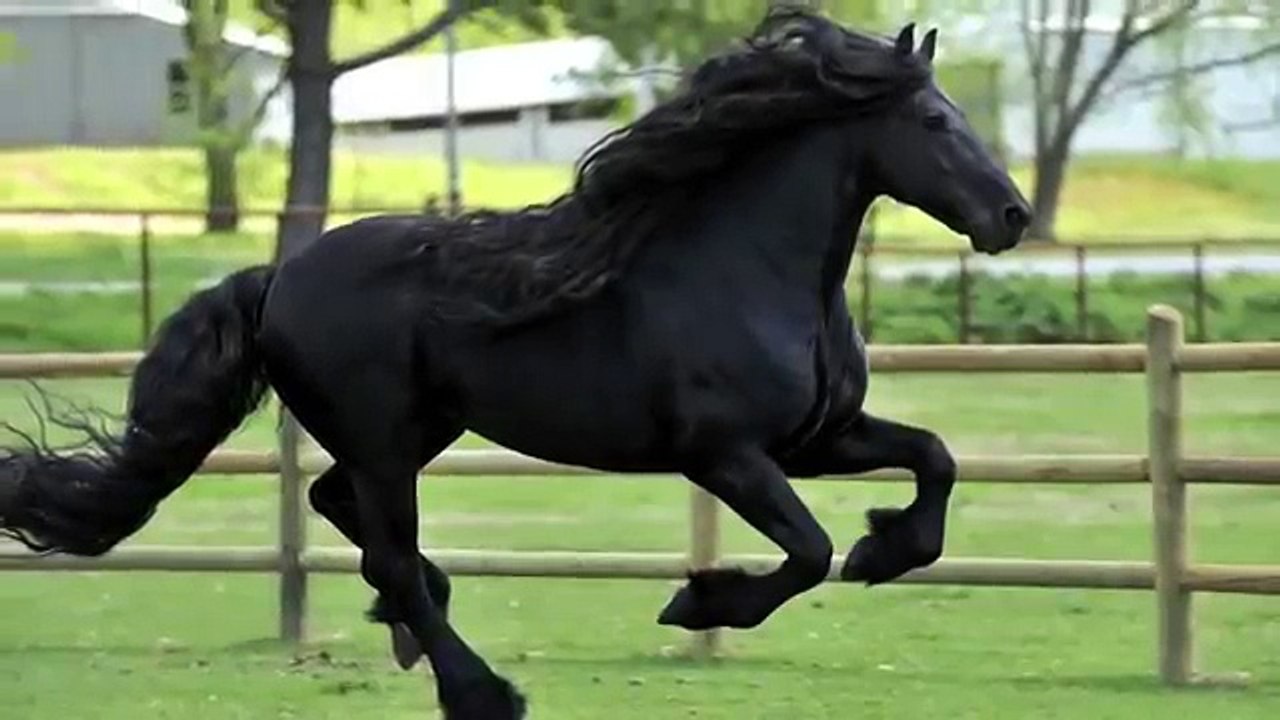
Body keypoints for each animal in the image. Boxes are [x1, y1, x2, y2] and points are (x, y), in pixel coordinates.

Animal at [0, 9, 1030, 719]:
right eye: (934, 120)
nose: (1013, 217)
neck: (751, 270)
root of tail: (280, 275)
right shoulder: (725, 454)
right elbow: (808, 551)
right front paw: (698, 603)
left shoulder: (820, 438)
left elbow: (934, 460)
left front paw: (884, 549)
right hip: (386, 443)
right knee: (389, 549)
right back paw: (478, 690)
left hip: (412, 434)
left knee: (348, 516)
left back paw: (411, 630)